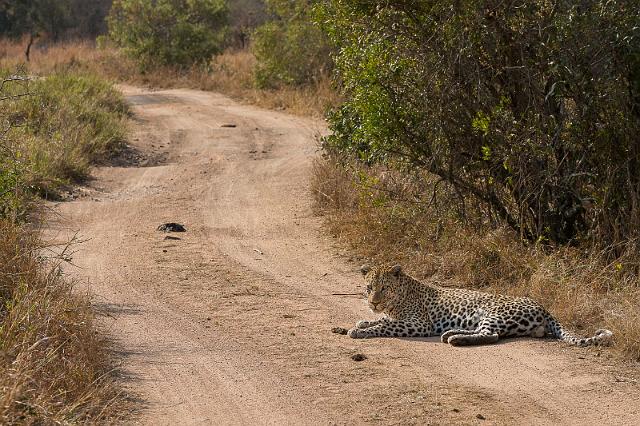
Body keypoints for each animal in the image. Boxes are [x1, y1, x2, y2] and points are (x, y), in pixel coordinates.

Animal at [348, 264, 612, 348]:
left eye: (384, 288)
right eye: (369, 287)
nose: (373, 302)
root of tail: (544, 307)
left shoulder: (418, 324)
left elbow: (385, 326)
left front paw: (358, 330)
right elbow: (382, 320)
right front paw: (363, 321)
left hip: (495, 313)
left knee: (491, 335)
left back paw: (455, 338)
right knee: (486, 333)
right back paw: (451, 333)